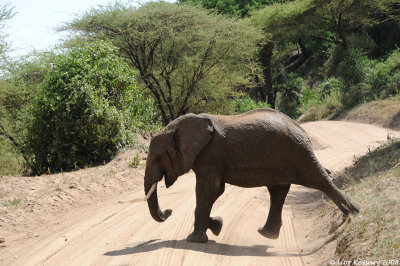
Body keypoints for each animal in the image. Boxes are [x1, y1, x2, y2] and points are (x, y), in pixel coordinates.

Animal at [144, 107, 360, 243]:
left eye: (157, 157)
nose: (168, 211)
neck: (179, 127)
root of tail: (300, 128)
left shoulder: (210, 155)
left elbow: (207, 190)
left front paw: (195, 240)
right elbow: (216, 191)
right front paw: (217, 226)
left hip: (297, 152)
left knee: (319, 179)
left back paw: (353, 212)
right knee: (278, 192)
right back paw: (266, 234)